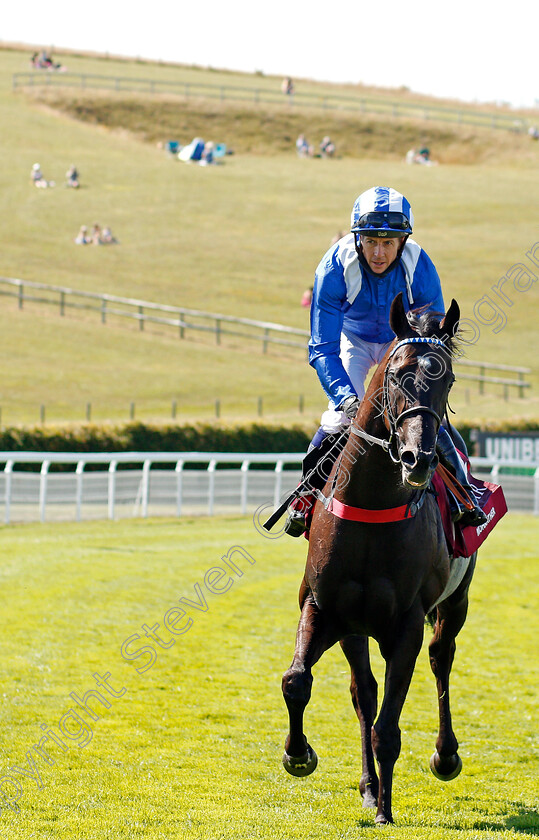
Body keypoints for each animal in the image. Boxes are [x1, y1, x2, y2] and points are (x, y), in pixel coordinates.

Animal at [282, 296, 476, 828]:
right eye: (397, 374)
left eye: (448, 379)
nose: (417, 459)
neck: (370, 507)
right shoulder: (323, 607)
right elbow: (297, 681)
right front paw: (298, 754)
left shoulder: (405, 623)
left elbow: (390, 725)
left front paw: (387, 810)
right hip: (354, 629)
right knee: (363, 694)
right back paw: (369, 787)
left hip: (457, 599)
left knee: (441, 657)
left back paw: (443, 756)